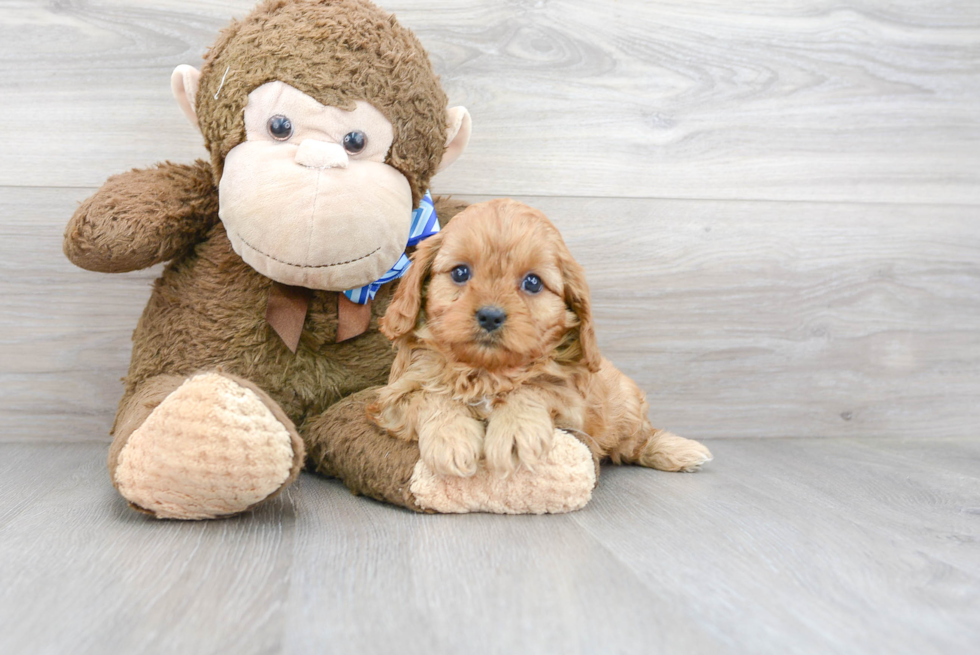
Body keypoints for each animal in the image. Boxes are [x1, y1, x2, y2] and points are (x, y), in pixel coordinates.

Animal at [368, 197, 712, 480]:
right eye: (460, 273)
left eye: (533, 282)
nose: (490, 315)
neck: (486, 372)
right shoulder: (393, 396)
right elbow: (431, 396)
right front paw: (451, 438)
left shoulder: (573, 404)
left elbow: (535, 386)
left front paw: (515, 430)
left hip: (625, 405)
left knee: (636, 440)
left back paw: (678, 450)